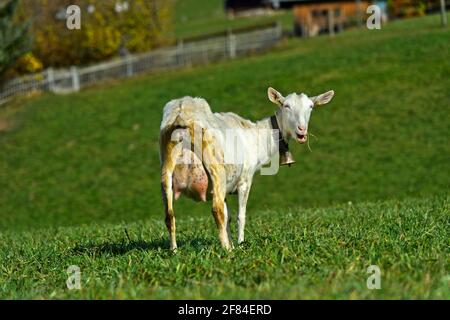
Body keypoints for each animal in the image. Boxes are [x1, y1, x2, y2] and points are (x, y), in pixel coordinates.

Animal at [159, 87, 334, 250]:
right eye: (286, 106)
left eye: (311, 106)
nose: (301, 130)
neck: (256, 136)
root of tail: (181, 114)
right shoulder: (245, 179)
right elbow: (240, 216)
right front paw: (239, 243)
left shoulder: (227, 187)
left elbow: (228, 217)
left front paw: (232, 241)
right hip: (215, 167)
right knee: (216, 210)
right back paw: (227, 250)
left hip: (166, 168)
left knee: (169, 214)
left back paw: (174, 250)